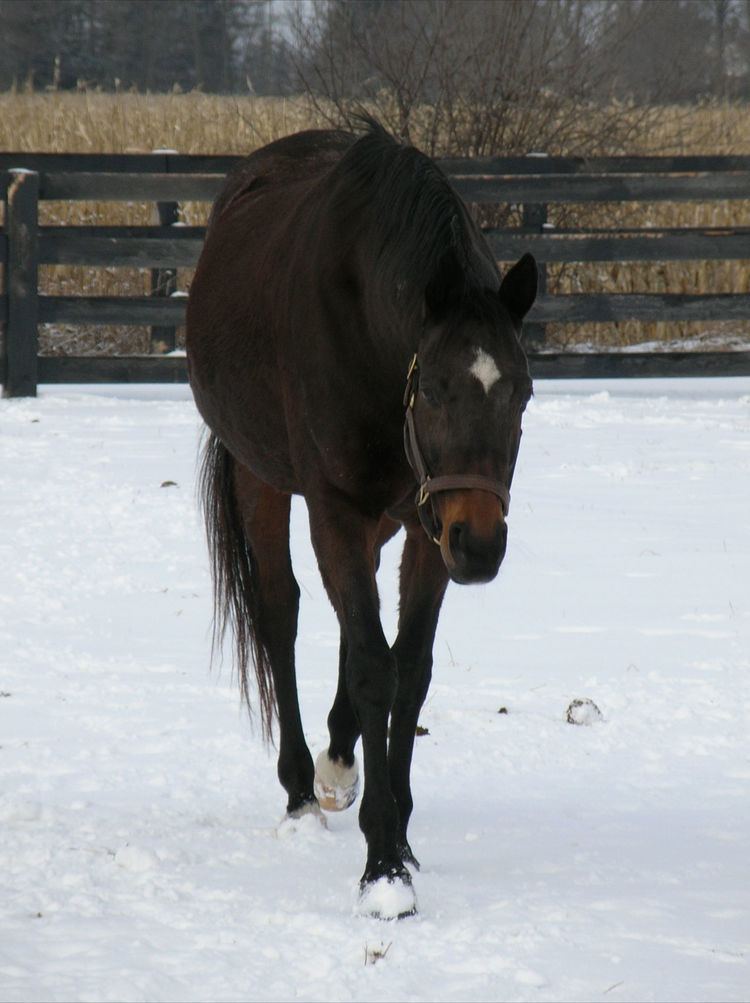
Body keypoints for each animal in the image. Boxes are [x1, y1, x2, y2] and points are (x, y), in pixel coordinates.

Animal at [187, 117, 537, 918]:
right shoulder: (337, 508)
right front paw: (383, 870)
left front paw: (399, 835)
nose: (482, 546)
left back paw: (339, 760)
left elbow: (409, 665)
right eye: (433, 387)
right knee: (280, 613)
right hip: (262, 477)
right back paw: (299, 790)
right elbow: (376, 665)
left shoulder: (428, 524)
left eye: (524, 390)